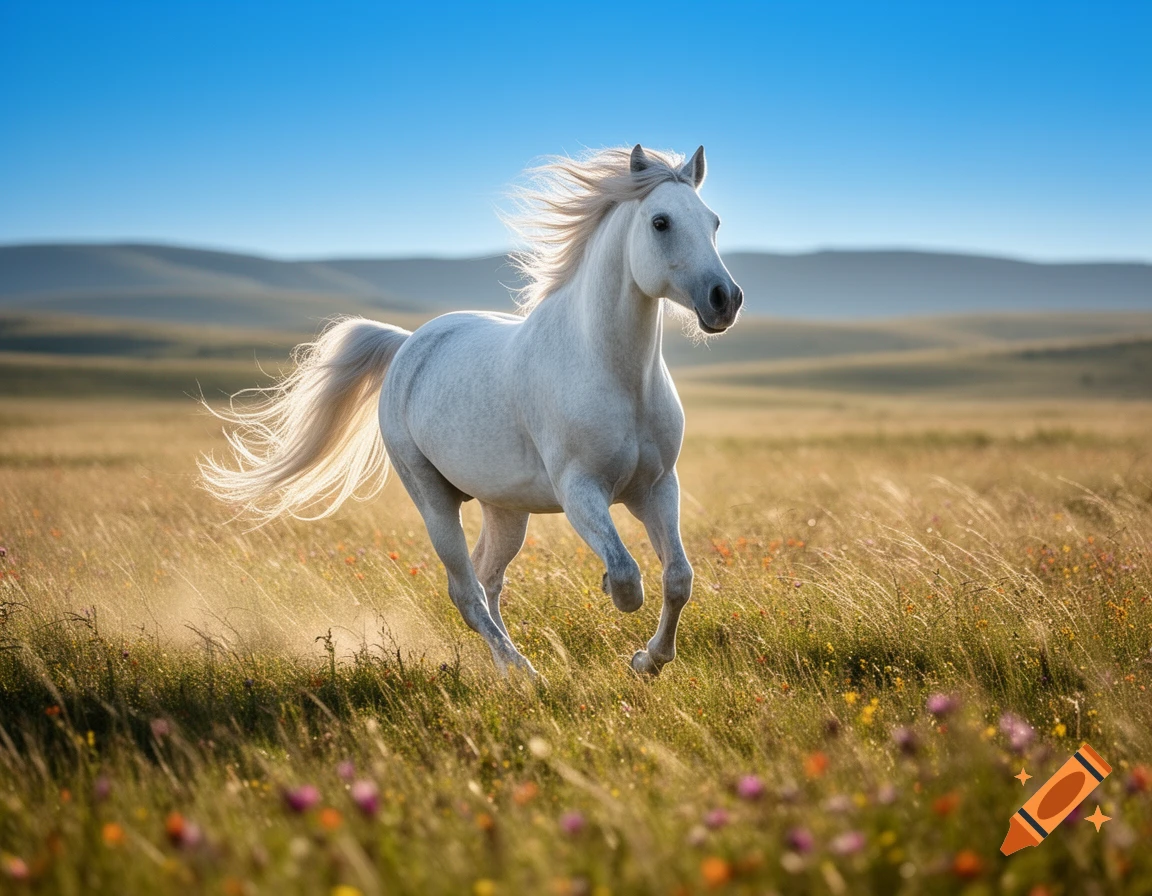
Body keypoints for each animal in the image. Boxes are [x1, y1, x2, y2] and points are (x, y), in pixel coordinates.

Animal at [200, 144, 743, 677]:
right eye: (660, 222)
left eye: (714, 221)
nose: (725, 299)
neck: (615, 374)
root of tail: (406, 344)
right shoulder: (579, 490)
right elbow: (629, 578)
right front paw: (614, 597)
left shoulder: (657, 487)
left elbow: (678, 578)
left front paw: (647, 661)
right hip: (433, 500)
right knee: (466, 590)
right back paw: (520, 671)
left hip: (505, 508)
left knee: (487, 576)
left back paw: (506, 667)